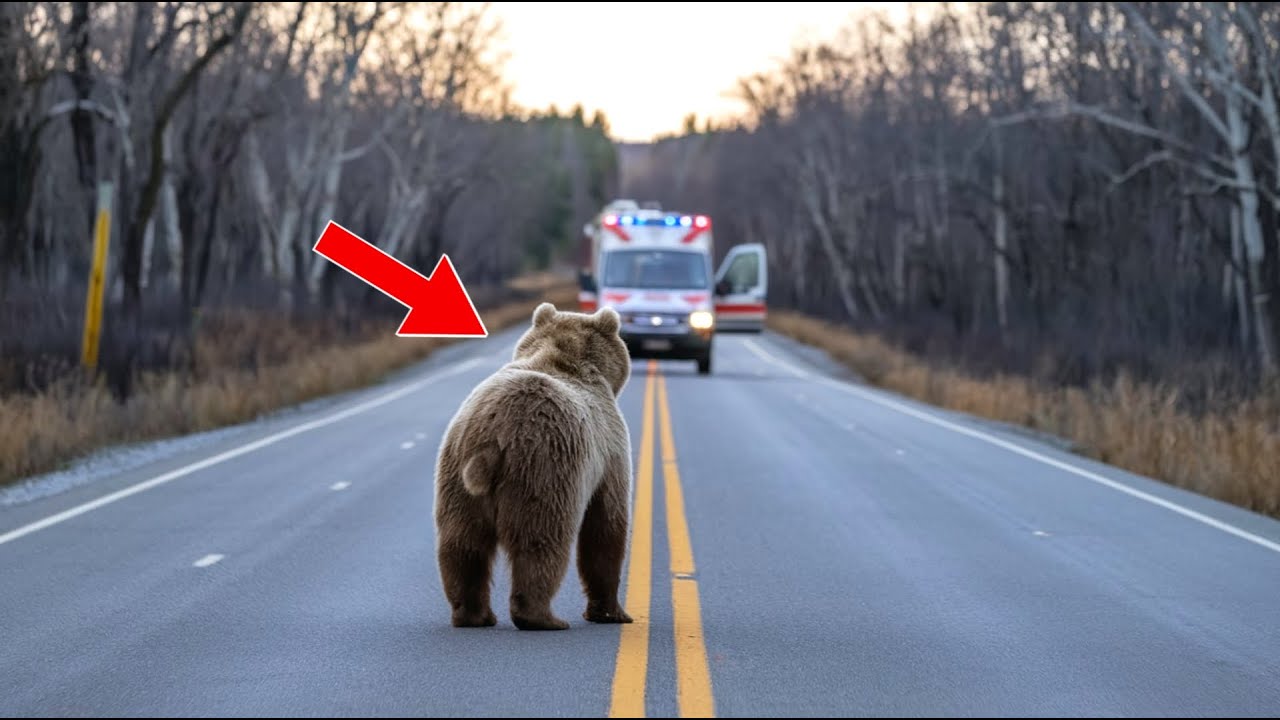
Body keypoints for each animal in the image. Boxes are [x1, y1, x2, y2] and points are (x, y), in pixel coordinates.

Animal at [433, 302, 635, 631]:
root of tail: (493, 438)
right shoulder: (609, 448)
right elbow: (605, 524)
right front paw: (612, 612)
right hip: (545, 469)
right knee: (540, 542)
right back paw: (543, 618)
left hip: (456, 471)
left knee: (463, 545)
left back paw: (474, 615)